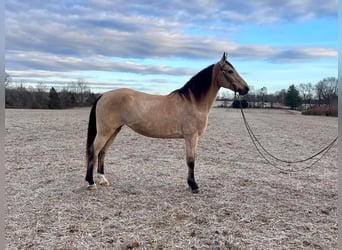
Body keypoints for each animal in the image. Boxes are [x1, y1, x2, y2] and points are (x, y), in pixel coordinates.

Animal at [85, 52, 248, 193]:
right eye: (229, 71)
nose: (246, 89)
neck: (193, 102)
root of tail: (104, 95)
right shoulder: (191, 136)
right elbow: (191, 161)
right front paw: (194, 186)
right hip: (105, 132)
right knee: (94, 152)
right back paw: (91, 183)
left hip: (114, 131)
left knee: (102, 153)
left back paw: (103, 180)